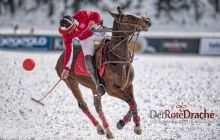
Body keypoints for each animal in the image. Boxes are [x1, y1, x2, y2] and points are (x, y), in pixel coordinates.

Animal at [55, 6, 151, 139]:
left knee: (98, 107)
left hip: (93, 87)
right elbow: (131, 101)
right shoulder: (112, 90)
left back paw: (107, 130)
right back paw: (102, 128)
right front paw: (137, 127)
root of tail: (61, 57)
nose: (148, 21)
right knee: (83, 105)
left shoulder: (128, 85)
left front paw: (123, 123)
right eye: (127, 17)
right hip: (71, 83)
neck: (118, 58)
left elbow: (133, 102)